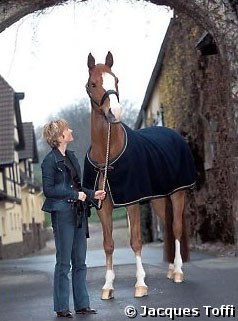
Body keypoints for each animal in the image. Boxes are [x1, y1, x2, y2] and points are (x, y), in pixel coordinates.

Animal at [83, 51, 195, 298]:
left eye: (116, 80)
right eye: (93, 83)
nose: (114, 112)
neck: (107, 154)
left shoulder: (132, 202)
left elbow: (135, 241)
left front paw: (141, 284)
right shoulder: (103, 206)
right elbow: (108, 244)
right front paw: (108, 286)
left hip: (178, 194)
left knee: (176, 228)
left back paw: (179, 272)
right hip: (159, 199)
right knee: (168, 226)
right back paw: (170, 269)